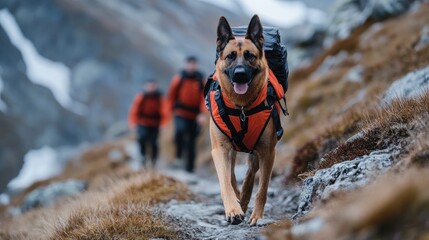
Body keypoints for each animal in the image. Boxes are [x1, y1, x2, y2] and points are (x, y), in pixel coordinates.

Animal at [209, 15, 276, 225]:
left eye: (250, 56)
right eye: (230, 56)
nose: (239, 74)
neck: (242, 108)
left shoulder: (268, 152)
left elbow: (262, 189)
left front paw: (256, 215)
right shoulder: (220, 149)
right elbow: (226, 183)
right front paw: (233, 210)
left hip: (256, 153)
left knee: (249, 175)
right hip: (230, 152)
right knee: (232, 176)